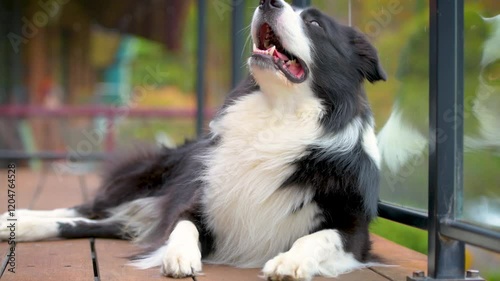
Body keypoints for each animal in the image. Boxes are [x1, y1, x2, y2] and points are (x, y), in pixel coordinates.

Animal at [0, 1, 386, 278]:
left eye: (316, 24)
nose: (268, 1)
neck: (278, 116)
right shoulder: (195, 202)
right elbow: (182, 226)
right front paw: (179, 255)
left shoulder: (355, 233)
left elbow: (319, 237)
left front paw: (290, 261)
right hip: (147, 177)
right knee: (85, 208)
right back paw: (16, 220)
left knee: (91, 222)